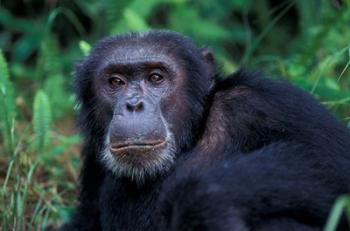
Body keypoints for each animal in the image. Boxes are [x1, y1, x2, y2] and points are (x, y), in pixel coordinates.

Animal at [61, 30, 350, 231]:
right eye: (116, 82)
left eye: (156, 78)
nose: (133, 104)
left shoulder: (268, 103)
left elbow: (332, 165)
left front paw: (201, 198)